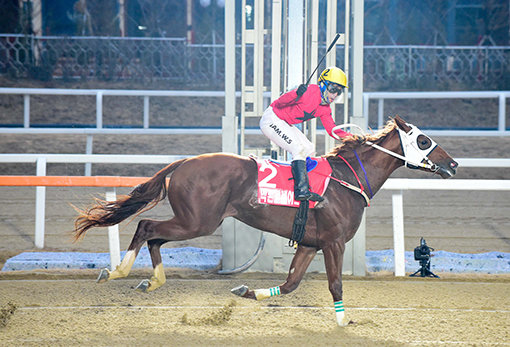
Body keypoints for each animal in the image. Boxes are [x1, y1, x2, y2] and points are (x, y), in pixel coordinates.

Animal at [72, 117, 458, 326]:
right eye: (423, 139)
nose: (453, 164)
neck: (347, 179)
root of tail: (182, 163)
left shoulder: (310, 243)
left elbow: (290, 284)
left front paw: (246, 291)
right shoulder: (333, 242)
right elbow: (335, 285)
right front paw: (342, 321)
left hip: (192, 220)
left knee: (153, 235)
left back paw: (152, 280)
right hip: (198, 221)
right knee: (147, 227)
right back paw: (119, 272)